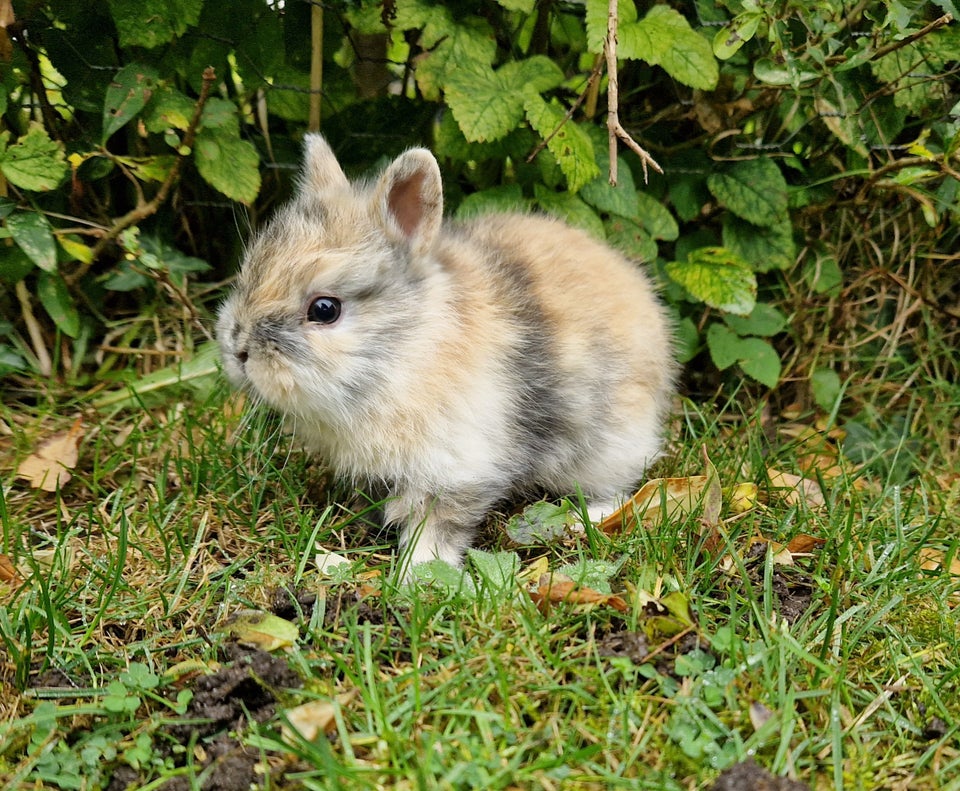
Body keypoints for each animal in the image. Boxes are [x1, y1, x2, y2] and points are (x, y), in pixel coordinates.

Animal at [219, 133, 676, 572]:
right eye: (250, 270)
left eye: (325, 309)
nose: (238, 350)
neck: (407, 347)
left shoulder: (456, 469)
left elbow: (437, 526)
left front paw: (417, 575)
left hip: (609, 445)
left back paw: (591, 517)